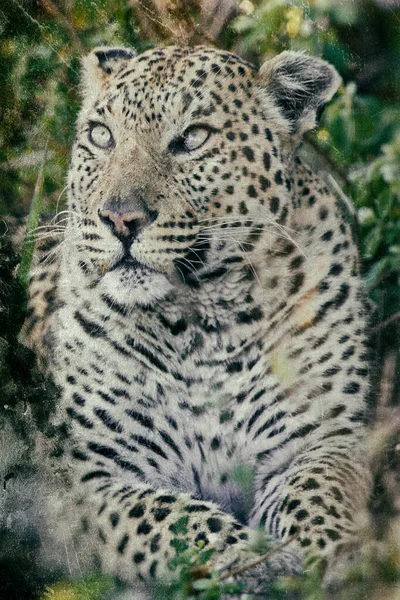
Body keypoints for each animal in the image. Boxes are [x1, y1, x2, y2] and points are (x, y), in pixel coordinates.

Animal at [18, 44, 372, 596]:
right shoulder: (93, 480)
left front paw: (330, 559)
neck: (200, 322)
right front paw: (254, 562)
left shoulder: (321, 442)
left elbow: (320, 494)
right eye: (102, 135)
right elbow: (174, 520)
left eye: (193, 138)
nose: (119, 218)